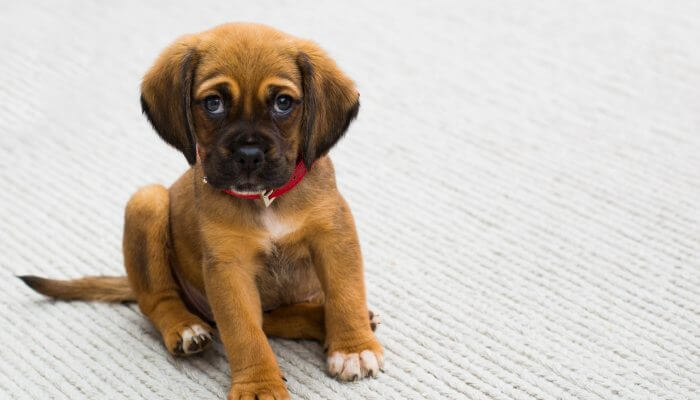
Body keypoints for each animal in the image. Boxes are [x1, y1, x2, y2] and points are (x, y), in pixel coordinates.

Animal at [19, 22, 382, 400]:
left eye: (283, 103)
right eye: (213, 103)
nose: (249, 155)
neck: (266, 200)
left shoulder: (334, 237)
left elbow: (345, 294)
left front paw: (353, 348)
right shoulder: (229, 269)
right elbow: (244, 334)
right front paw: (259, 385)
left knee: (274, 318)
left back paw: (325, 319)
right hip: (147, 202)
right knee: (157, 300)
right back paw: (185, 328)